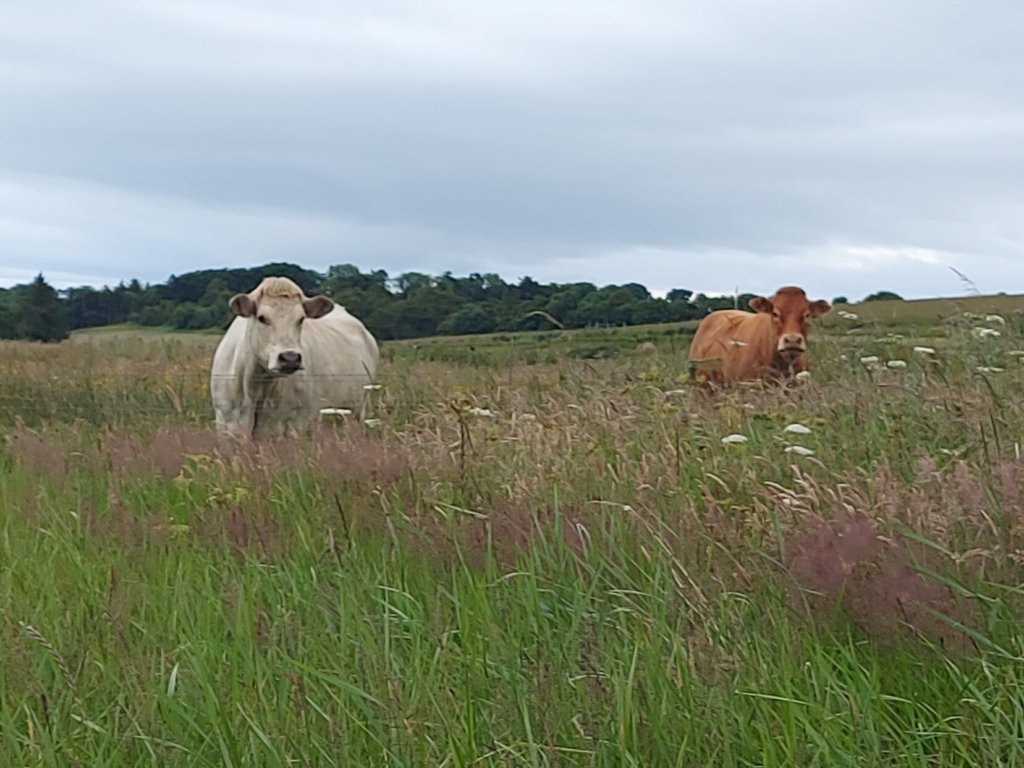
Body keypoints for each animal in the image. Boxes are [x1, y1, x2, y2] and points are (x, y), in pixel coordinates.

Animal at [207, 280, 380, 442]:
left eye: (301, 319)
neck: (255, 386)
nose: (290, 358)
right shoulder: (226, 425)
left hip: (356, 412)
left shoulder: (288, 425)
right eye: (262, 318)